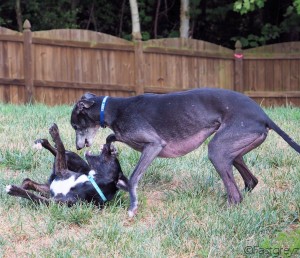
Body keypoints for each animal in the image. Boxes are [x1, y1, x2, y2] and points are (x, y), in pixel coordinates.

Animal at [71, 87, 300, 217]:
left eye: (74, 125)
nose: (78, 147)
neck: (114, 109)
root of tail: (264, 116)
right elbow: (111, 137)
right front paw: (110, 148)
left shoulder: (154, 145)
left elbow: (134, 177)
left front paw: (132, 204)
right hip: (234, 151)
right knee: (250, 181)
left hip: (218, 150)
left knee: (236, 194)